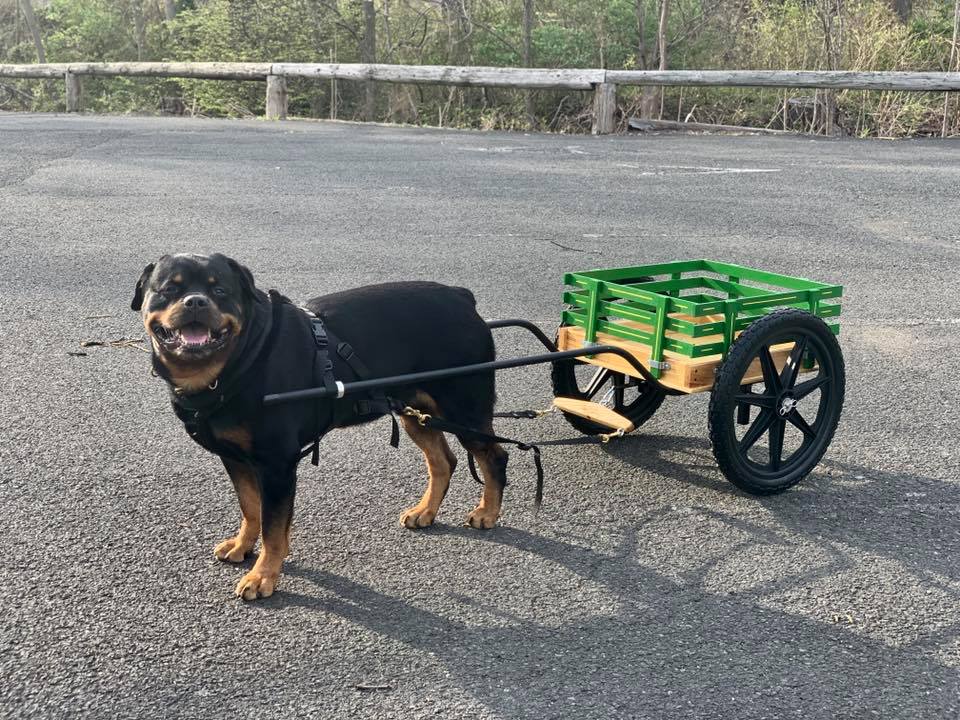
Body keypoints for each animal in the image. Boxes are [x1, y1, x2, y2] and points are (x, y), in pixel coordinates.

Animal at [131, 253, 509, 600]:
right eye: (168, 289)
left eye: (220, 290)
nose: (195, 301)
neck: (240, 360)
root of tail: (462, 297)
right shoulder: (236, 459)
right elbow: (250, 508)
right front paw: (243, 545)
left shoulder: (277, 465)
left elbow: (273, 527)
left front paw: (263, 576)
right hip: (416, 411)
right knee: (443, 461)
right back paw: (425, 511)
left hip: (465, 409)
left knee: (494, 457)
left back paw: (487, 512)